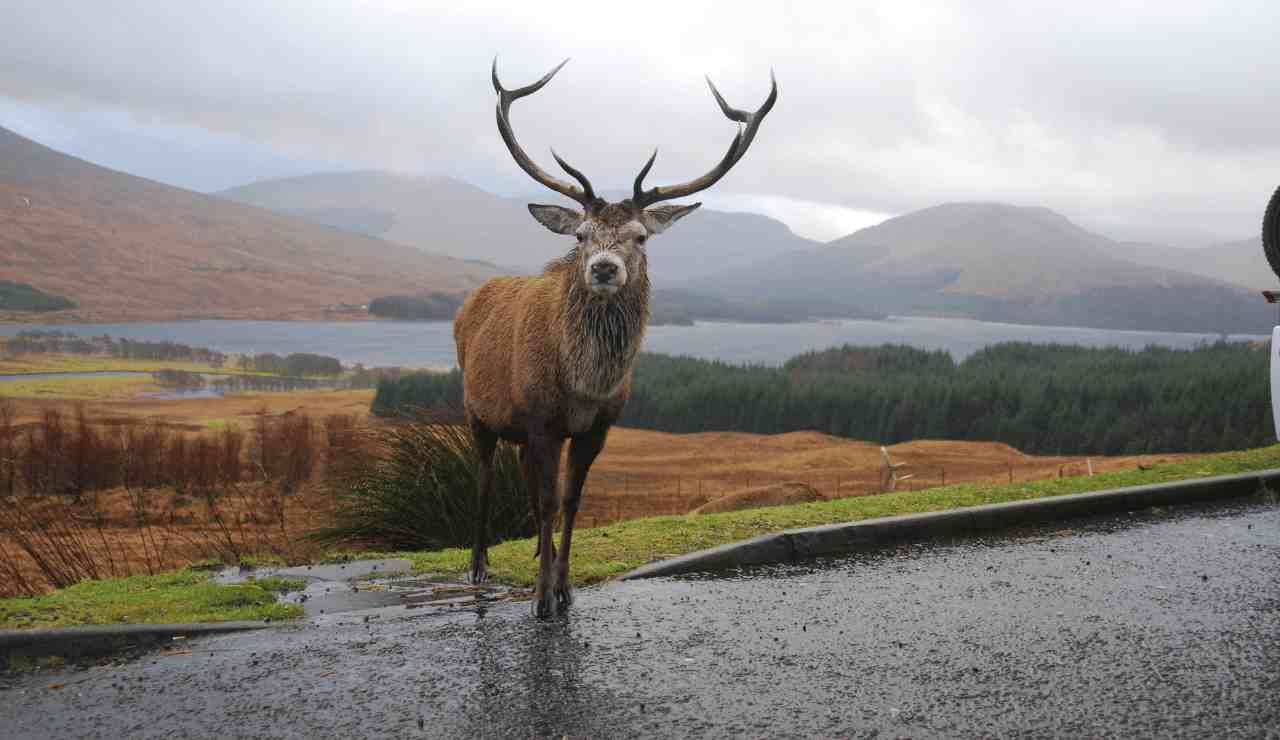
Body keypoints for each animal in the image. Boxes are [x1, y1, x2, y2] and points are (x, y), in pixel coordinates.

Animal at [454, 58, 776, 617]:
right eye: (581, 235)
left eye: (640, 237)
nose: (604, 268)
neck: (583, 385)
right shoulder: (541, 418)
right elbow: (547, 502)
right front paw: (541, 598)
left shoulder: (596, 427)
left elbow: (570, 501)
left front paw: (563, 587)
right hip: (477, 411)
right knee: (486, 478)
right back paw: (478, 566)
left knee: (525, 483)